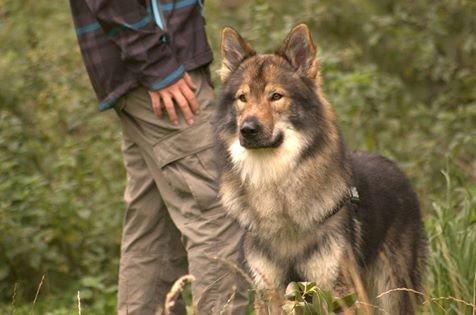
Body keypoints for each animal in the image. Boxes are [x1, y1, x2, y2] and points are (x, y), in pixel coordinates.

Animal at [214, 23, 430, 314]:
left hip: (392, 294)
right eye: (242, 98)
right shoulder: (269, 293)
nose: (247, 129)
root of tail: (393, 166)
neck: (277, 189)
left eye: (276, 96)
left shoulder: (339, 292)